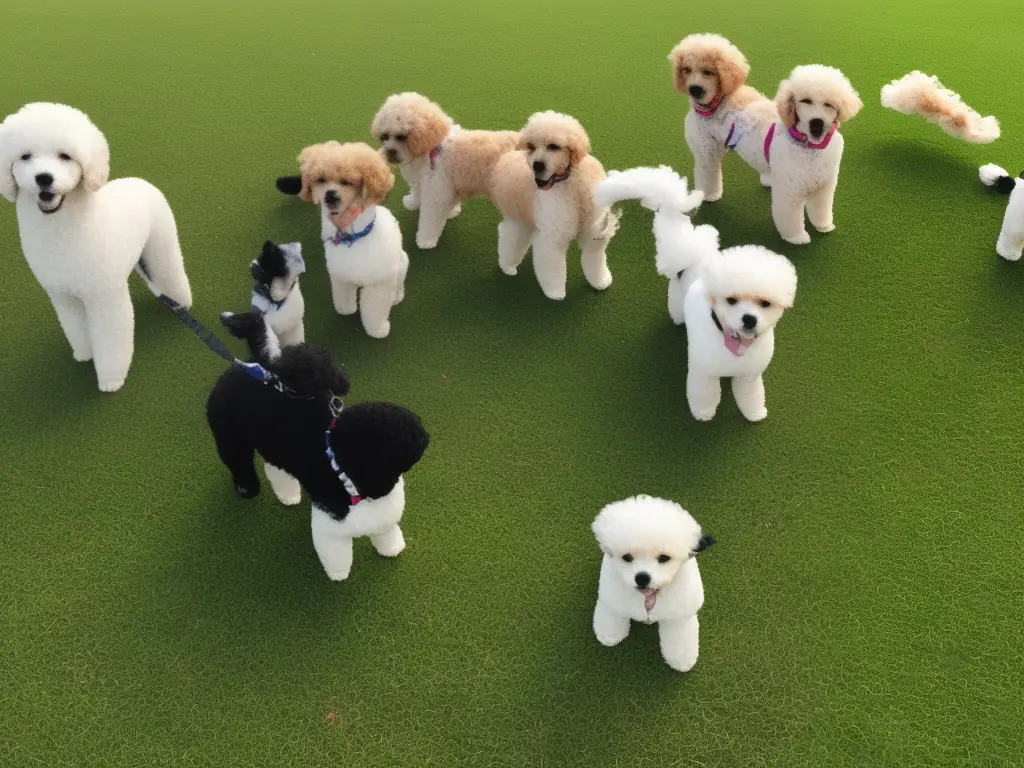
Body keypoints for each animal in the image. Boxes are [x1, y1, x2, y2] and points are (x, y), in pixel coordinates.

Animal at [0, 102, 193, 391]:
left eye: (65, 156)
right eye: (25, 157)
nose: (43, 178)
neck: (63, 236)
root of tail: (139, 180)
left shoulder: (104, 297)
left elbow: (109, 339)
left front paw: (111, 380)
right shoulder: (65, 297)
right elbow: (77, 329)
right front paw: (84, 354)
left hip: (161, 245)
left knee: (171, 272)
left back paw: (182, 303)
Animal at [205, 313, 430, 581]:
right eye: (400, 434)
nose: (424, 434)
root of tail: (248, 367)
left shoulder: (384, 520)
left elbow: (387, 536)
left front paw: (392, 549)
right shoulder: (330, 532)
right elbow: (337, 557)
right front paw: (338, 575)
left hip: (274, 443)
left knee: (275, 468)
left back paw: (287, 494)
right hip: (229, 436)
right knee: (239, 463)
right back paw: (247, 489)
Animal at [589, 495, 716, 671]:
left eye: (663, 558)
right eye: (627, 557)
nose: (642, 578)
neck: (648, 595)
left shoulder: (678, 616)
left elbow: (680, 640)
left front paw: (682, 661)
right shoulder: (613, 600)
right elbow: (611, 617)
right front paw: (609, 636)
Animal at [593, 164, 798, 423]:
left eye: (765, 303)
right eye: (731, 300)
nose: (749, 319)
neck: (733, 342)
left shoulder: (749, 375)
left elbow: (751, 395)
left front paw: (754, 413)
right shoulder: (704, 372)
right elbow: (705, 394)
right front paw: (703, 414)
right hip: (677, 289)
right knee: (674, 298)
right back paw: (678, 318)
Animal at [765, 67, 860, 246]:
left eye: (829, 104)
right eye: (805, 101)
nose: (817, 123)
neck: (811, 150)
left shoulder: (822, 187)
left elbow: (821, 210)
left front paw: (823, 225)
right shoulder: (790, 191)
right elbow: (790, 217)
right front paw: (795, 237)